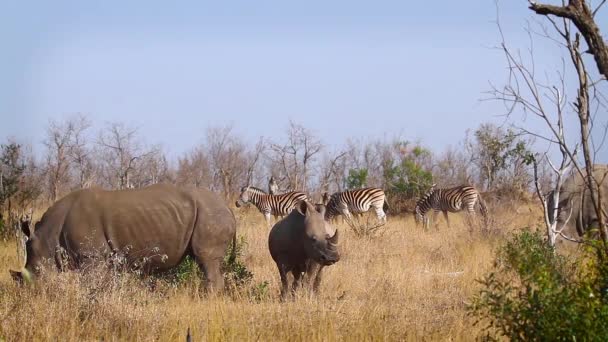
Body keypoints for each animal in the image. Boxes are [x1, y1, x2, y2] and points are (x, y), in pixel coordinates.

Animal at [10, 183, 238, 290]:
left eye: (35, 273)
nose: (29, 292)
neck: (48, 236)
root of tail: (228, 207)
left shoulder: (91, 257)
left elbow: (92, 284)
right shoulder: (102, 258)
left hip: (211, 214)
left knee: (206, 260)